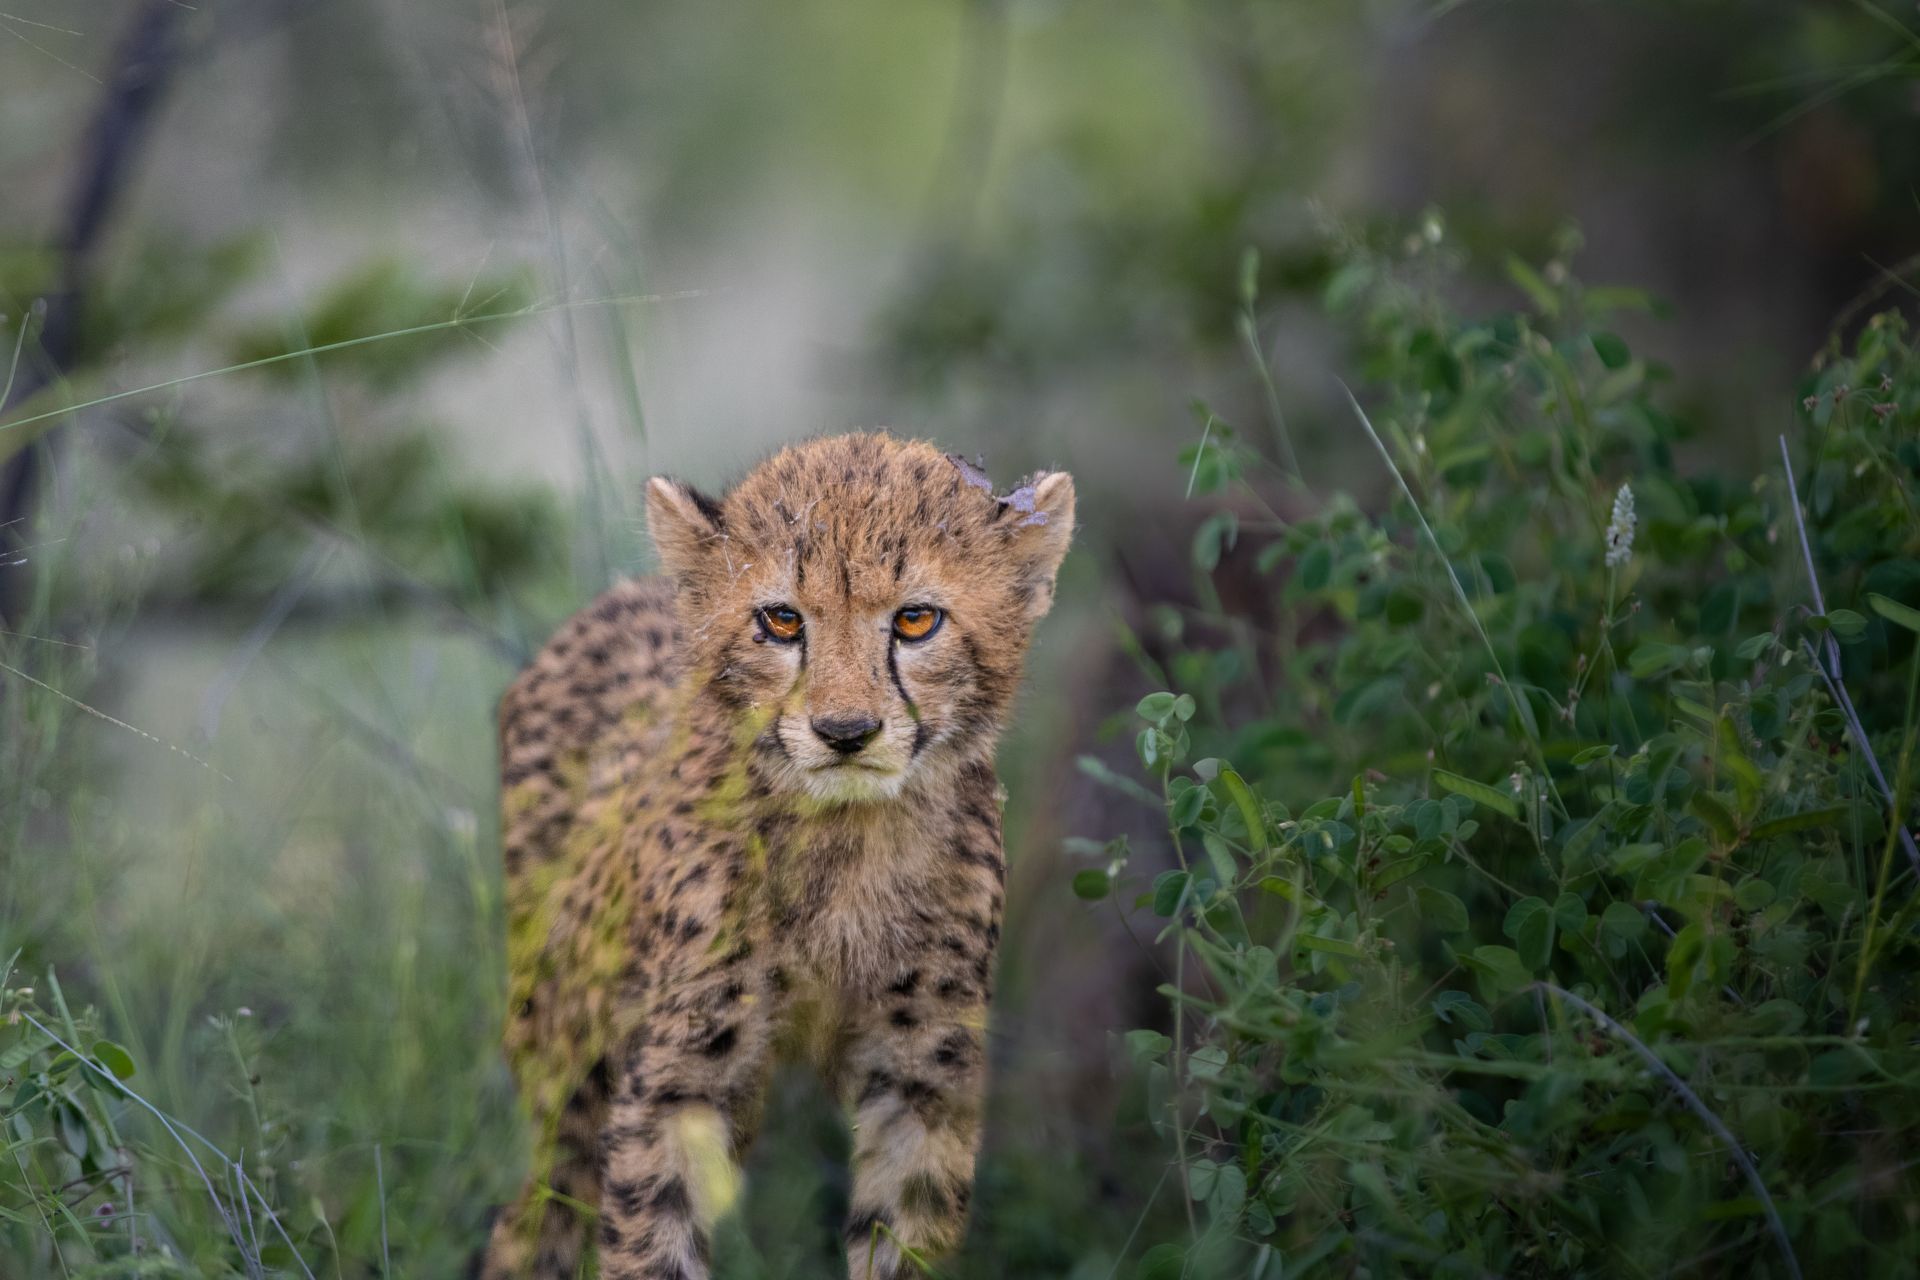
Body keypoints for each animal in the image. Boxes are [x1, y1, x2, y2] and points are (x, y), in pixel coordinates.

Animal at [478, 432, 1075, 1280]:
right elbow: (651, 1239)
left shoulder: (923, 1070)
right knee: (537, 1218)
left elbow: (903, 1229)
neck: (845, 838)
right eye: (783, 621)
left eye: (917, 620)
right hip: (570, 1049)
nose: (846, 731)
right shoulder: (677, 1076)